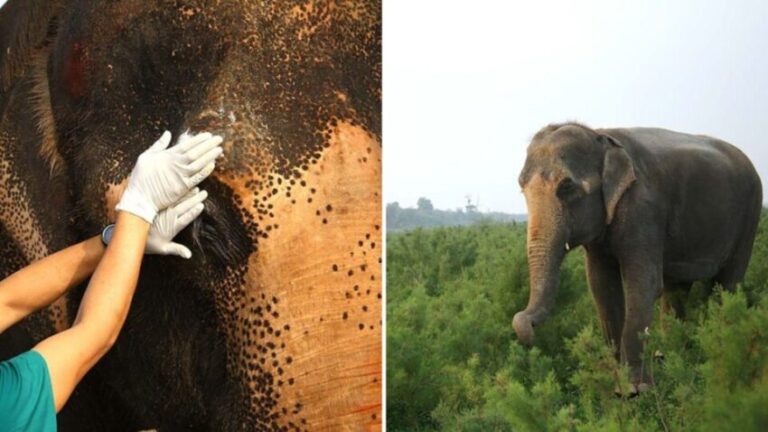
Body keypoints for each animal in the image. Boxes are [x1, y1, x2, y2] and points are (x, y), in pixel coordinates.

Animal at [512, 122, 762, 393]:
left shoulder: (644, 209)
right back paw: (669, 357)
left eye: (567, 187)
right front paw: (616, 385)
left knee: (726, 285)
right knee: (677, 290)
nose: (527, 329)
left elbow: (644, 285)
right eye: (521, 188)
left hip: (750, 216)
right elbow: (601, 286)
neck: (601, 134)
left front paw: (635, 390)